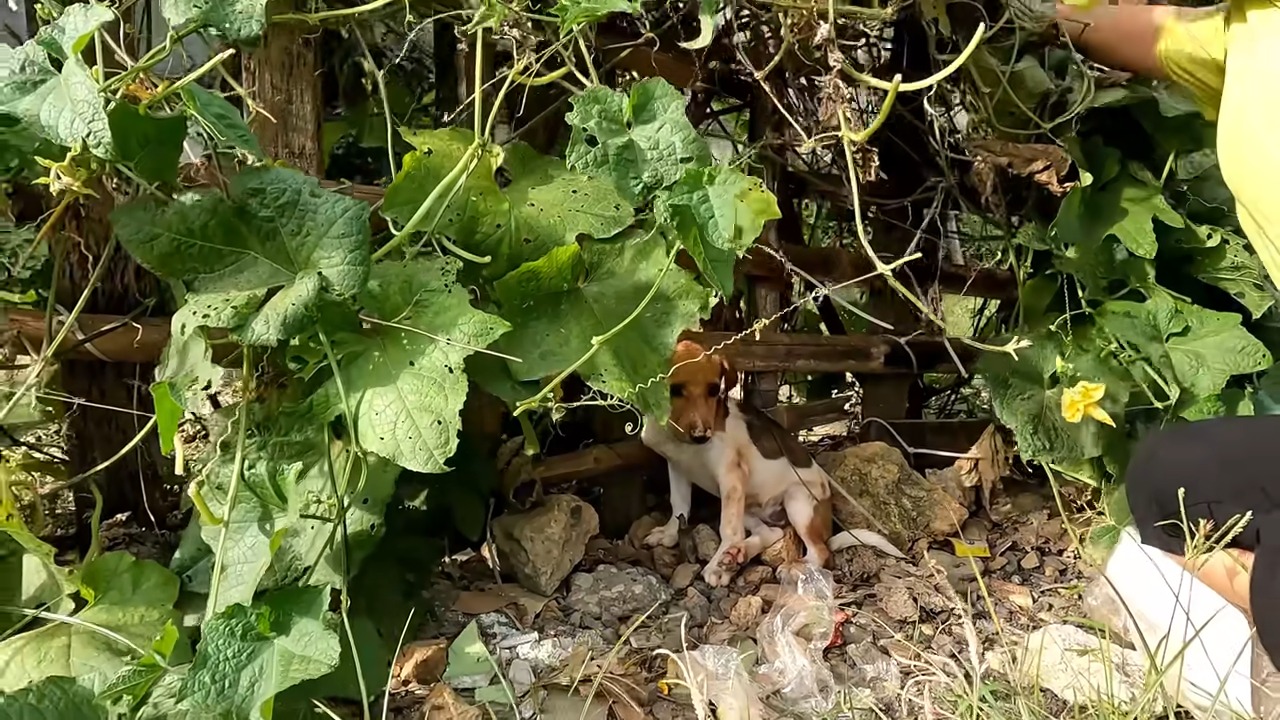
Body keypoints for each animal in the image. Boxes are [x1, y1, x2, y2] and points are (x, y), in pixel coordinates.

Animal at [640, 340, 901, 584]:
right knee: (772, 532)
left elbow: (728, 529)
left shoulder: (731, 477)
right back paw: (738, 554)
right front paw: (669, 533)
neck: (681, 442)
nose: (702, 436)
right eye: (674, 390)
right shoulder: (677, 466)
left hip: (798, 501)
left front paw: (716, 568)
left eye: (714, 390)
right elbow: (679, 505)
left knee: (821, 552)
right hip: (749, 506)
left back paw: (792, 567)